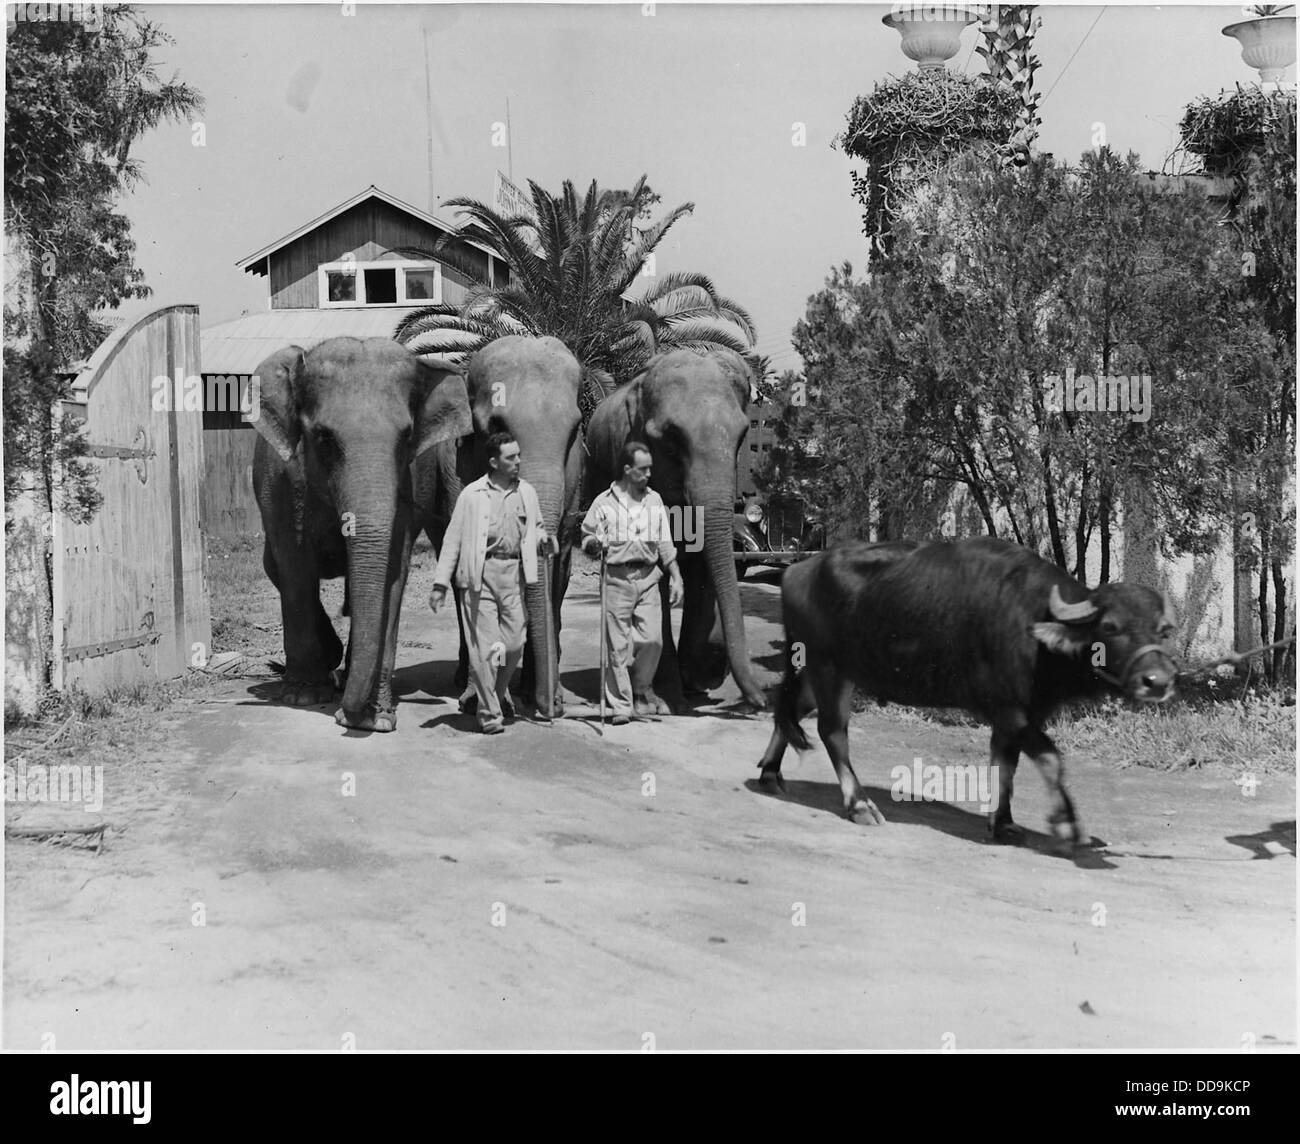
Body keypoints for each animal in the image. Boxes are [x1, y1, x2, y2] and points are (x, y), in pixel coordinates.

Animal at [248, 335, 473, 728]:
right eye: (323, 437)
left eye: (407, 436)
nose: (347, 717)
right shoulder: (282, 485)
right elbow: (294, 569)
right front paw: (304, 696)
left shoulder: (404, 490)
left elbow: (393, 573)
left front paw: (375, 718)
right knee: (276, 568)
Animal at [454, 335, 582, 717]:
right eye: (497, 426)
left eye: (575, 430)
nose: (553, 710)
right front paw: (477, 699)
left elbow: (557, 574)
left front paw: (547, 696)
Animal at [582, 343, 769, 712]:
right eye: (670, 439)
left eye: (743, 436)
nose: (759, 702)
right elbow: (659, 567)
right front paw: (665, 698)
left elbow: (703, 560)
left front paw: (700, 678)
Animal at [759, 533, 1185, 842]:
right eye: (1110, 627)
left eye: (1161, 630)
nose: (1158, 681)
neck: (1035, 627)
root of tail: (798, 570)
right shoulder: (1008, 709)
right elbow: (1050, 758)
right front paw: (1065, 823)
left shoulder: (1022, 716)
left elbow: (1005, 765)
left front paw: (1003, 822)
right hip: (827, 666)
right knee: (832, 731)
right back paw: (859, 805)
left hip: (827, 671)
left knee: (790, 709)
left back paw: (769, 774)